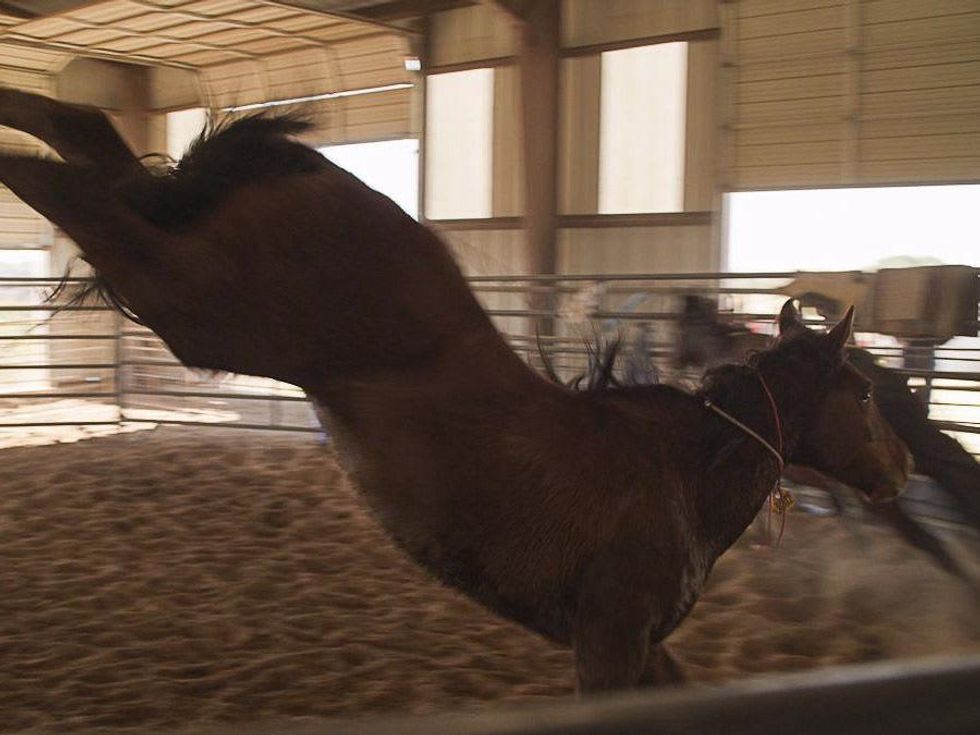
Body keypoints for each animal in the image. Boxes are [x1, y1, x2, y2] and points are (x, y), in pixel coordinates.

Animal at [0, 89, 911, 691]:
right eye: (865, 392)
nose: (901, 469)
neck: (682, 471)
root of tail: (311, 168)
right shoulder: (609, 639)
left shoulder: (642, 645)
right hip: (196, 303)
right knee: (82, 192)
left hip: (188, 271)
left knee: (93, 141)